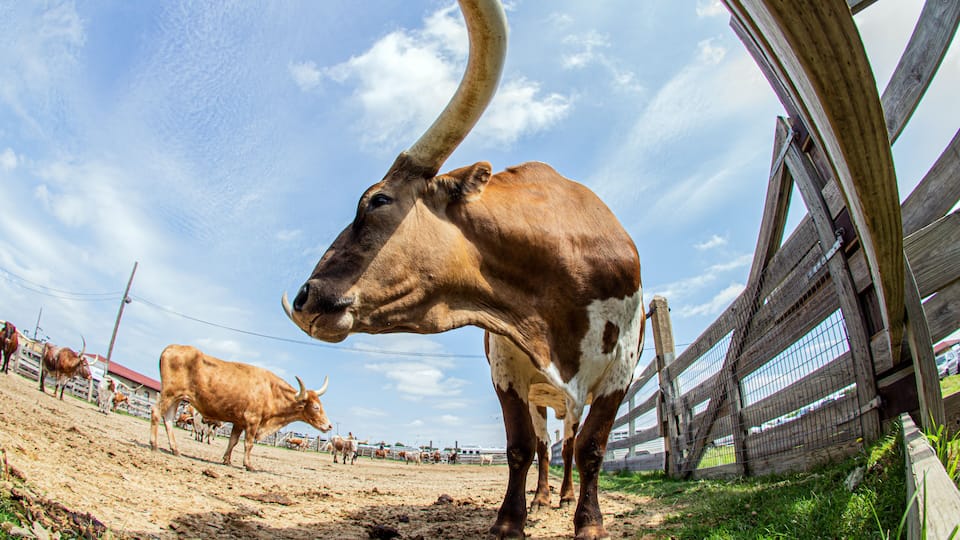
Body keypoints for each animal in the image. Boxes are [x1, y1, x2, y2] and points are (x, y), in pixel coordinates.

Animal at [150, 344, 333, 471]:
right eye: (316, 407)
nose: (329, 425)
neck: (270, 390)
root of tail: (171, 348)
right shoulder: (252, 420)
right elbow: (248, 444)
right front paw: (248, 465)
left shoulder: (239, 422)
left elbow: (233, 441)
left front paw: (227, 460)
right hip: (169, 393)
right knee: (156, 413)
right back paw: (154, 445)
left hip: (177, 398)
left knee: (168, 420)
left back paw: (175, 449)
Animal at [281, 2, 643, 537]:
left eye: (377, 200)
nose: (305, 298)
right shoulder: (509, 372)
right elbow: (520, 448)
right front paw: (510, 521)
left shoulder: (621, 369)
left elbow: (593, 449)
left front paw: (590, 523)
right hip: (541, 398)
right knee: (546, 447)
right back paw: (542, 499)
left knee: (570, 444)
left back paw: (562, 498)